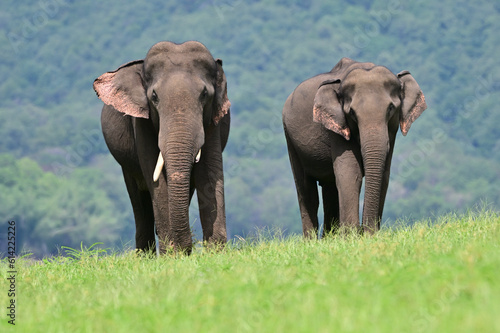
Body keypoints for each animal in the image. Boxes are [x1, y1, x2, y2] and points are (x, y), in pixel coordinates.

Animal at [93, 40, 230, 253]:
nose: (186, 249)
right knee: (139, 201)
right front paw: (171, 255)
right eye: (154, 96)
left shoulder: (213, 120)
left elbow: (209, 174)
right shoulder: (141, 122)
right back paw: (146, 255)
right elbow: (155, 178)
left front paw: (216, 254)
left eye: (205, 94)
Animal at [284, 58, 428, 237]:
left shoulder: (392, 131)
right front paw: (351, 237)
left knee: (330, 188)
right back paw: (312, 240)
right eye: (352, 112)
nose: (364, 231)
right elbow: (350, 172)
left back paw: (329, 238)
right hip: (290, 139)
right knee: (307, 190)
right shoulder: (336, 127)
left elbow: (384, 174)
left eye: (391, 108)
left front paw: (366, 235)